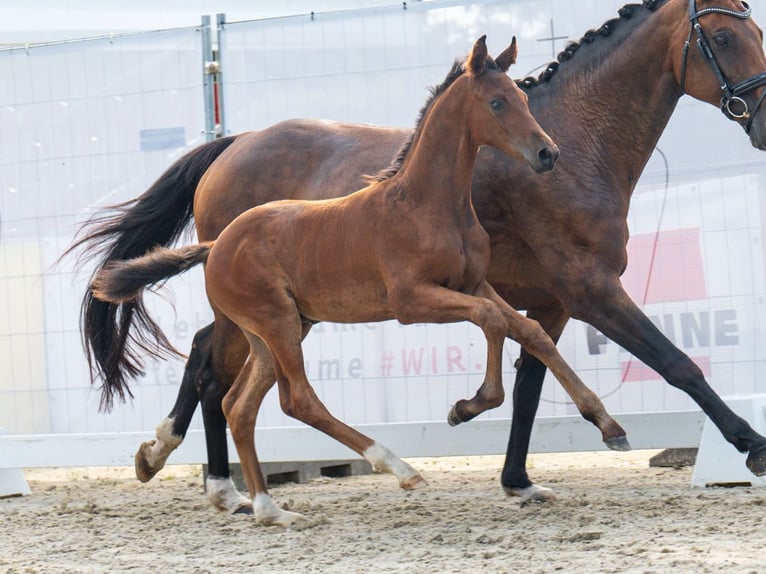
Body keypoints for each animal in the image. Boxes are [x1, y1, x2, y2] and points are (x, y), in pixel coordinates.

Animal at [70, 0, 766, 512]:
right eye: (723, 37)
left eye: (754, 29)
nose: (761, 121)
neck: (577, 147)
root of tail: (232, 145)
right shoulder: (591, 291)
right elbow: (678, 366)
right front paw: (750, 445)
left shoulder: (549, 303)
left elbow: (531, 380)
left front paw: (518, 478)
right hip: (274, 313)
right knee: (217, 371)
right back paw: (221, 484)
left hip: (287, 315)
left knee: (207, 359)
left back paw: (176, 460)